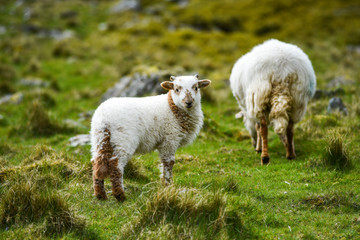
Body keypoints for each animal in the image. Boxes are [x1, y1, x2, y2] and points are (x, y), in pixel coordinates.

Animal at [89, 73, 211, 201]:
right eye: (177, 89)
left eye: (196, 88)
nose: (189, 102)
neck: (172, 108)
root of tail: (104, 119)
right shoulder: (170, 139)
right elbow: (169, 162)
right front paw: (168, 185)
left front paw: (165, 184)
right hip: (122, 140)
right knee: (116, 165)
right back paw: (120, 195)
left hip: (99, 139)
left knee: (96, 162)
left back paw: (100, 195)